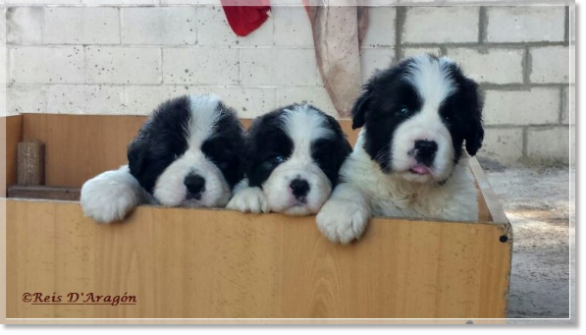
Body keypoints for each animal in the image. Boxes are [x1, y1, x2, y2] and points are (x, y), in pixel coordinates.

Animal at [314, 54, 484, 244]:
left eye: (449, 118)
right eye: (403, 110)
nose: (425, 147)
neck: (411, 190)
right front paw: (340, 215)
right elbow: (351, 186)